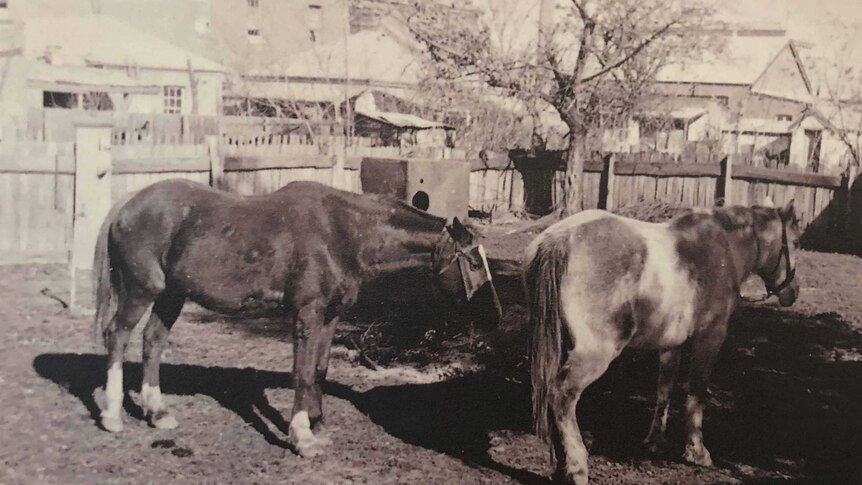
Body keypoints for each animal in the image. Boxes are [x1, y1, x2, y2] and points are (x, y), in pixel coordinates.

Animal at [93, 177, 500, 454]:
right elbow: (302, 372)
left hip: (172, 295)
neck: (341, 232)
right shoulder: (308, 314)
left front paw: (317, 424)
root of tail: (128, 204)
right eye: (474, 263)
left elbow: (318, 370)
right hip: (142, 291)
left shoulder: (330, 317)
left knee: (152, 341)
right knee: (117, 336)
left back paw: (157, 412)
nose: (495, 317)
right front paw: (302, 435)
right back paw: (112, 416)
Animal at [528, 199, 804, 482]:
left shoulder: (671, 345)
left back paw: (561, 466)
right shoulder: (710, 338)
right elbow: (697, 391)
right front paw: (696, 451)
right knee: (562, 396)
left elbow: (664, 388)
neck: (722, 249)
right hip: (594, 354)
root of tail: (561, 239)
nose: (792, 292)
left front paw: (655, 441)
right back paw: (577, 468)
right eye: (794, 242)